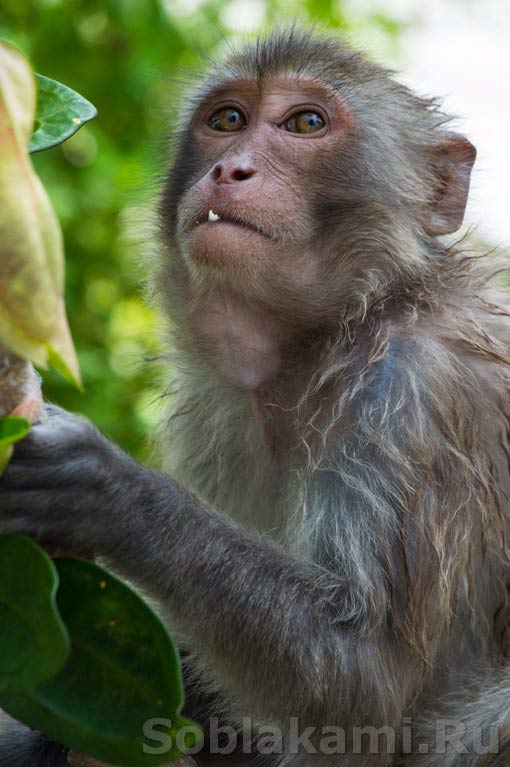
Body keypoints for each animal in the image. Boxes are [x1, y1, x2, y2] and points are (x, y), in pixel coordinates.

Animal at [0, 24, 510, 767]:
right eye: (228, 121)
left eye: (306, 124)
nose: (230, 169)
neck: (331, 338)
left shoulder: (416, 394)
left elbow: (365, 683)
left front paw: (102, 488)